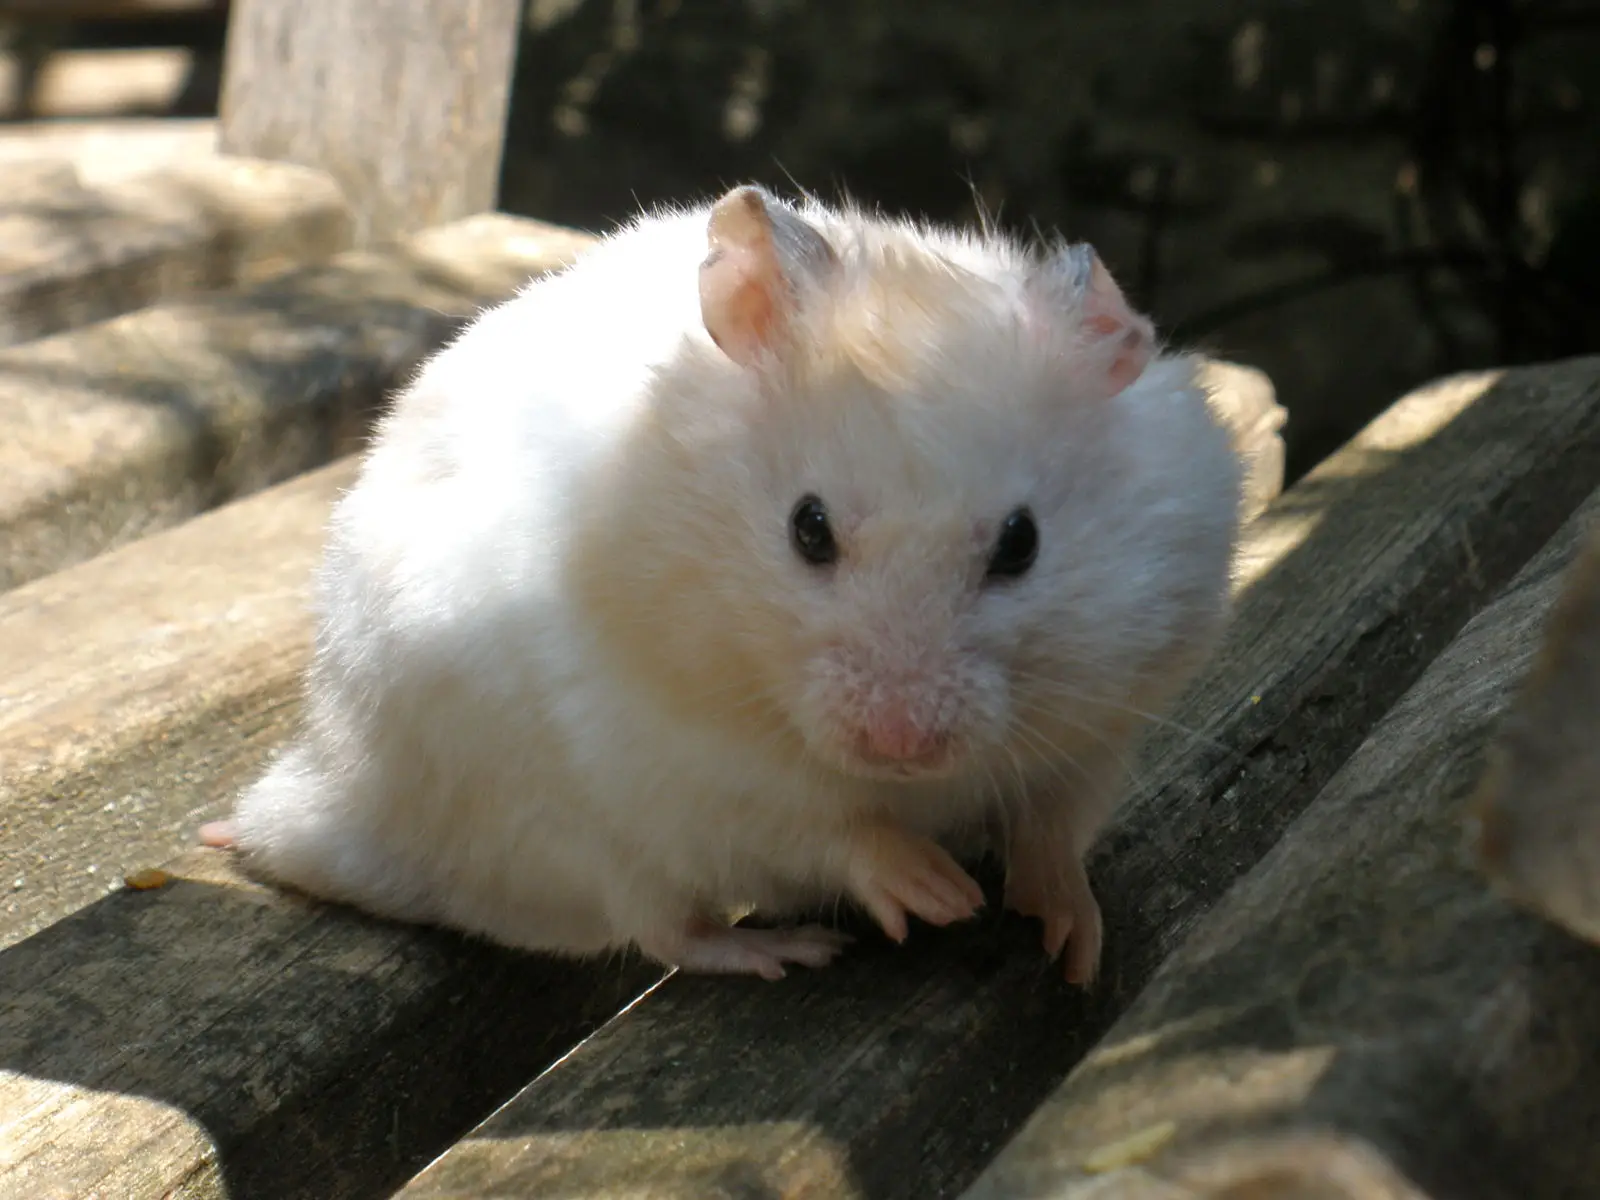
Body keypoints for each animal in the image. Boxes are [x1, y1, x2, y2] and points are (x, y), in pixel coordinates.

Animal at [201, 184, 1244, 986]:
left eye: (1022, 544)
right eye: (807, 528)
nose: (901, 744)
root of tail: (333, 796)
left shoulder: (1106, 728)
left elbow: (1056, 834)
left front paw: (1075, 950)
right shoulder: (693, 764)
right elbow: (833, 830)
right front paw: (942, 898)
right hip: (554, 821)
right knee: (667, 928)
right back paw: (786, 948)